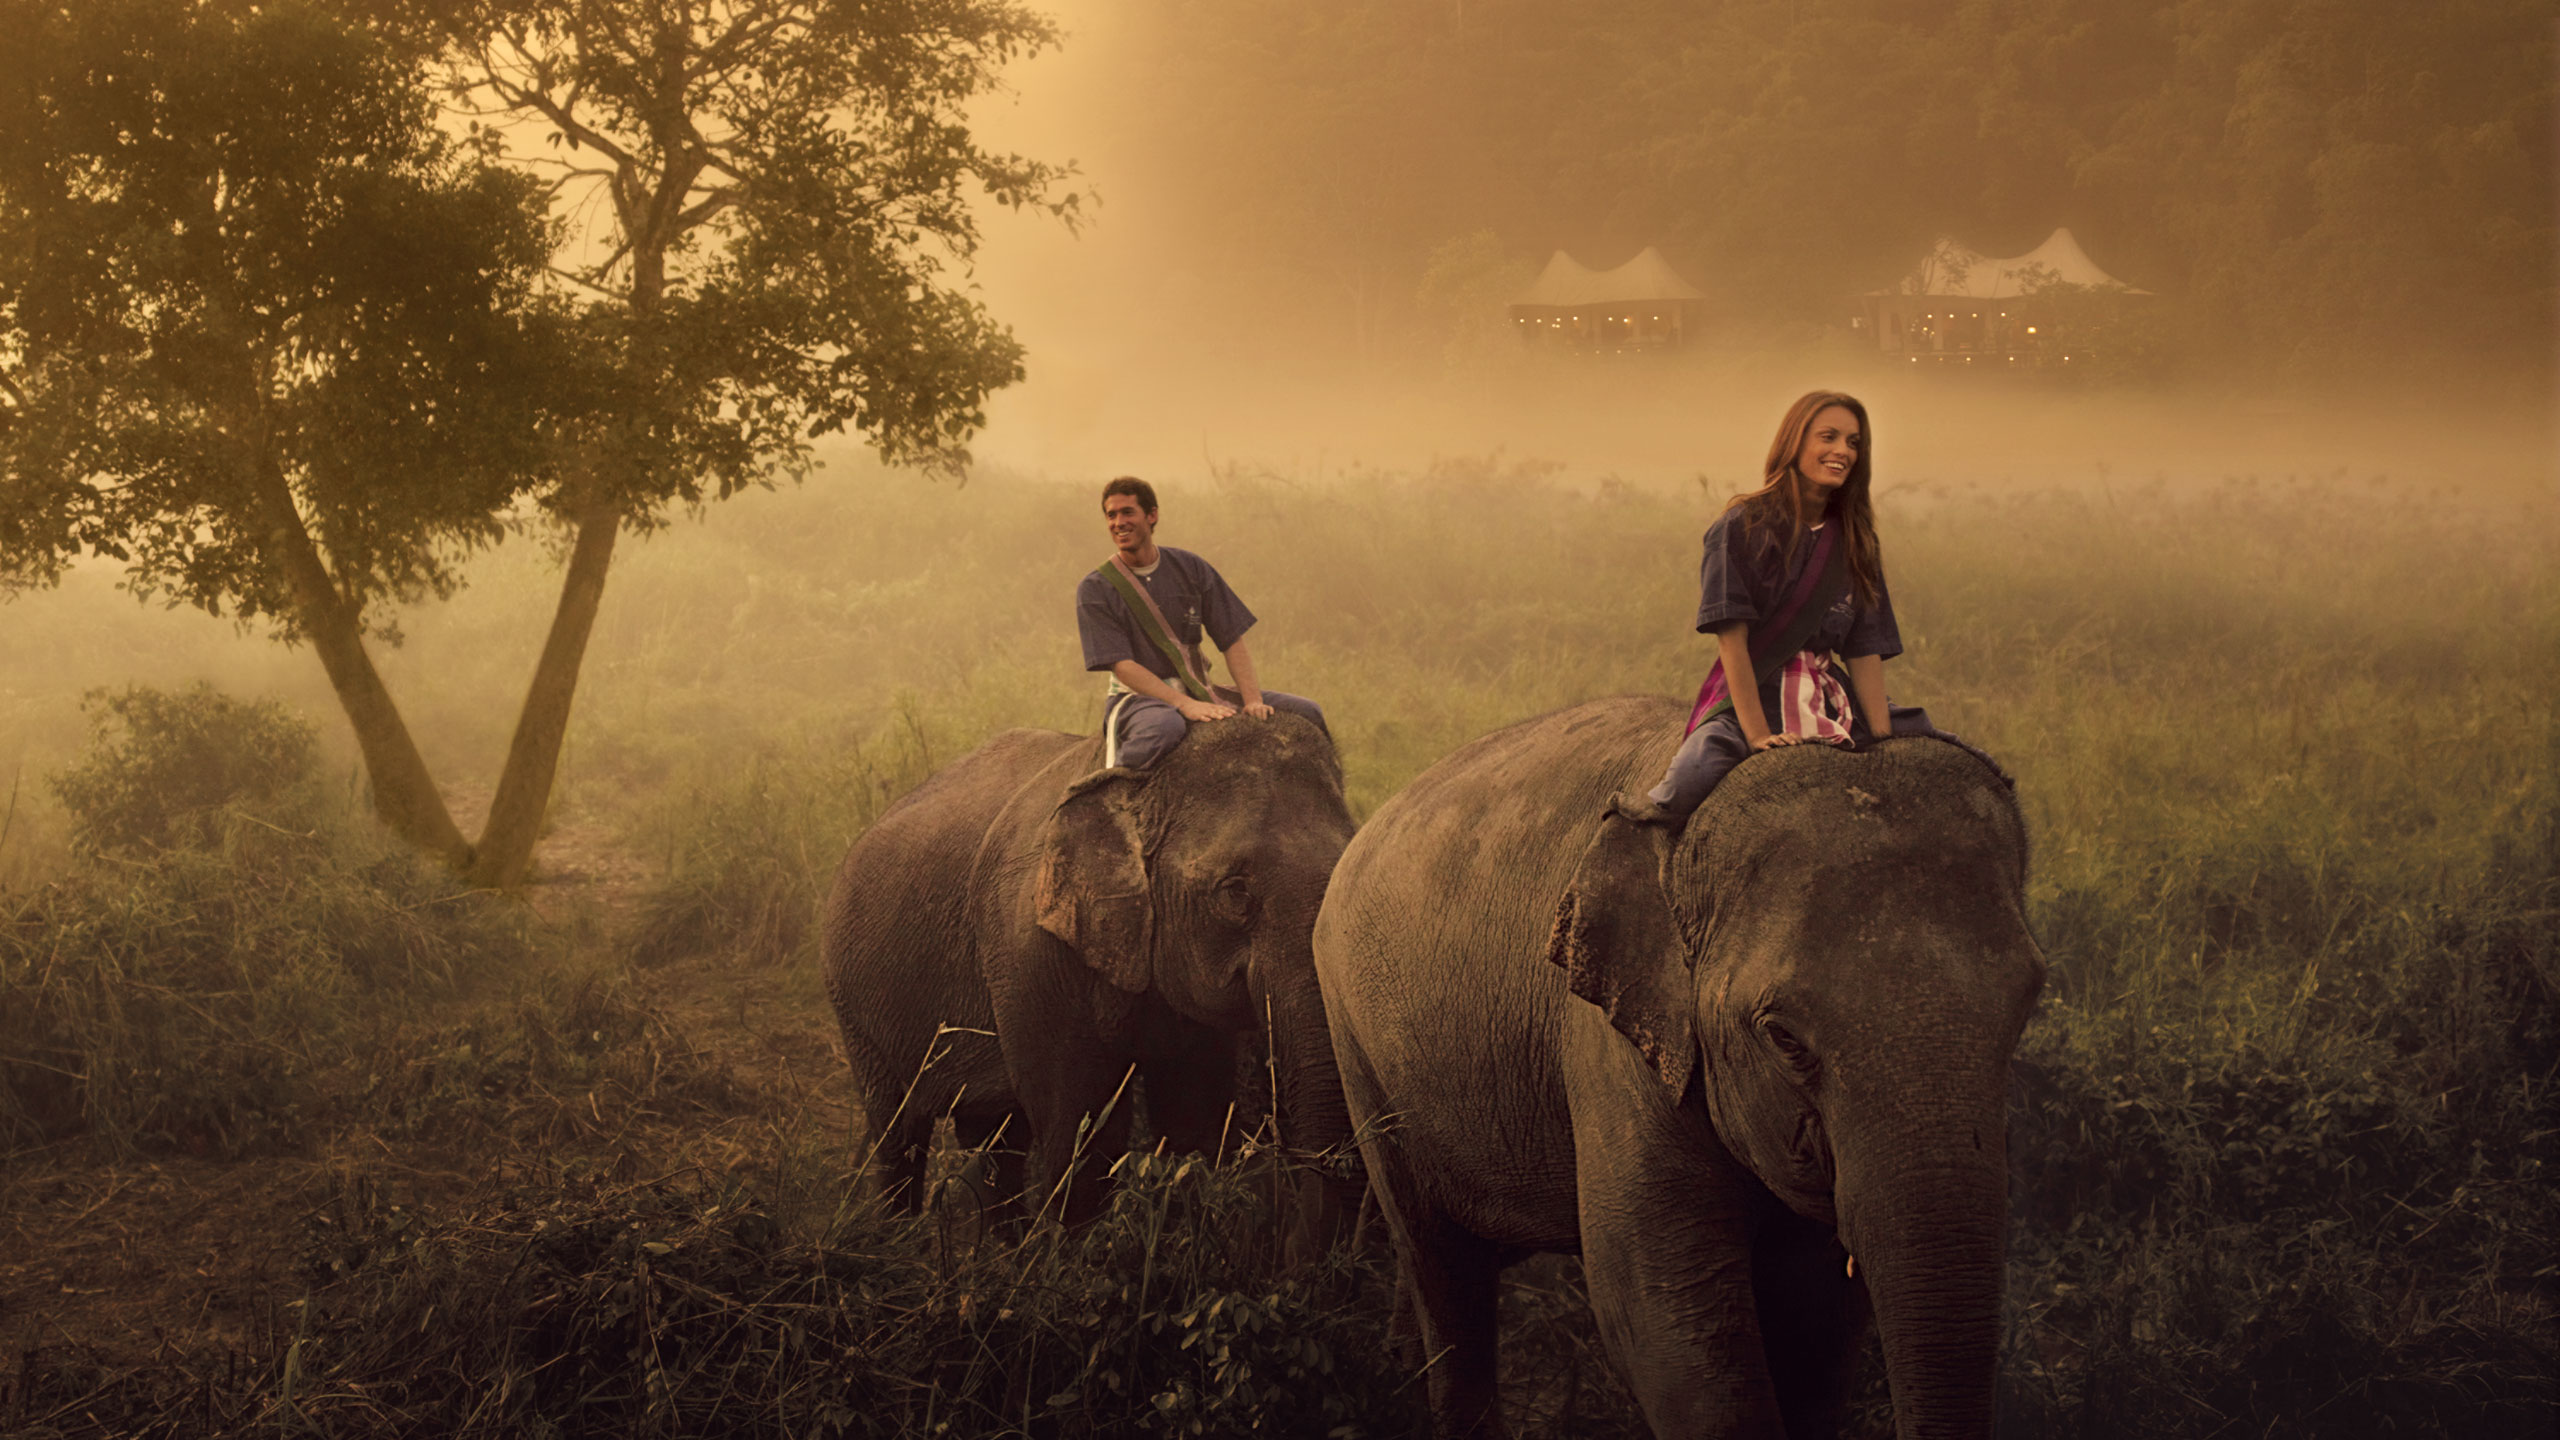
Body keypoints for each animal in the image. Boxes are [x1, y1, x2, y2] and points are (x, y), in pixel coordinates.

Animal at [824, 707, 1361, 1219]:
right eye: (1235, 892)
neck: (1136, 783)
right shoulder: (1032, 954)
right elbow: (1081, 1128)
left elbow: (1194, 1115)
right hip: (854, 1009)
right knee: (900, 1132)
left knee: (995, 1138)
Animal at [1320, 696, 2037, 1434]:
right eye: (1784, 1039)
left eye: (2028, 1005)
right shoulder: (1611, 1038)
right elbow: (1659, 1307)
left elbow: (1817, 1324)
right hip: (1356, 1044)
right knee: (1441, 1265)